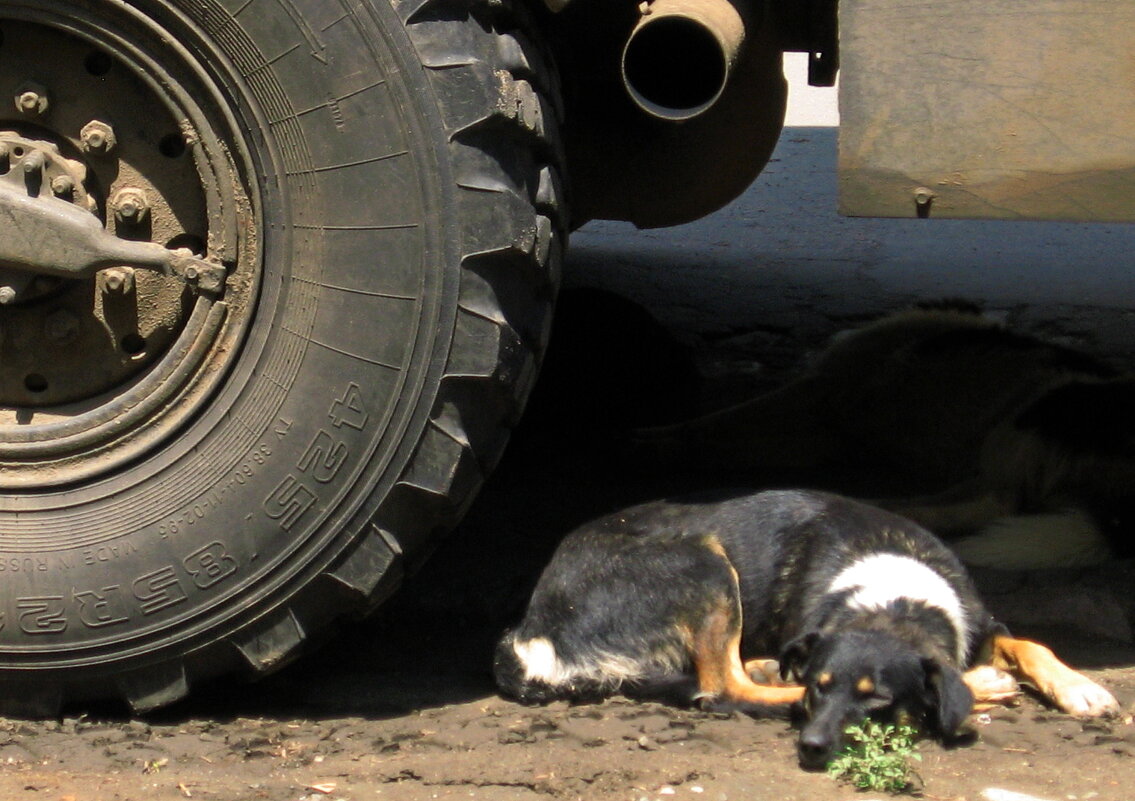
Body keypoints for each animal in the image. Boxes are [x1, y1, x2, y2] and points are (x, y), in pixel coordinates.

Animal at [494, 485, 1116, 766]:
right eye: (825, 688)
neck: (893, 599)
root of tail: (530, 629)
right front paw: (979, 685)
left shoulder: (982, 621)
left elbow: (1029, 642)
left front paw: (1082, 688)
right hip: (704, 564)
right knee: (722, 688)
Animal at [635, 299, 1130, 567]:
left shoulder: (815, 398)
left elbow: (710, 426)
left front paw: (651, 440)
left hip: (1024, 422)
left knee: (991, 501)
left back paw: (877, 507)